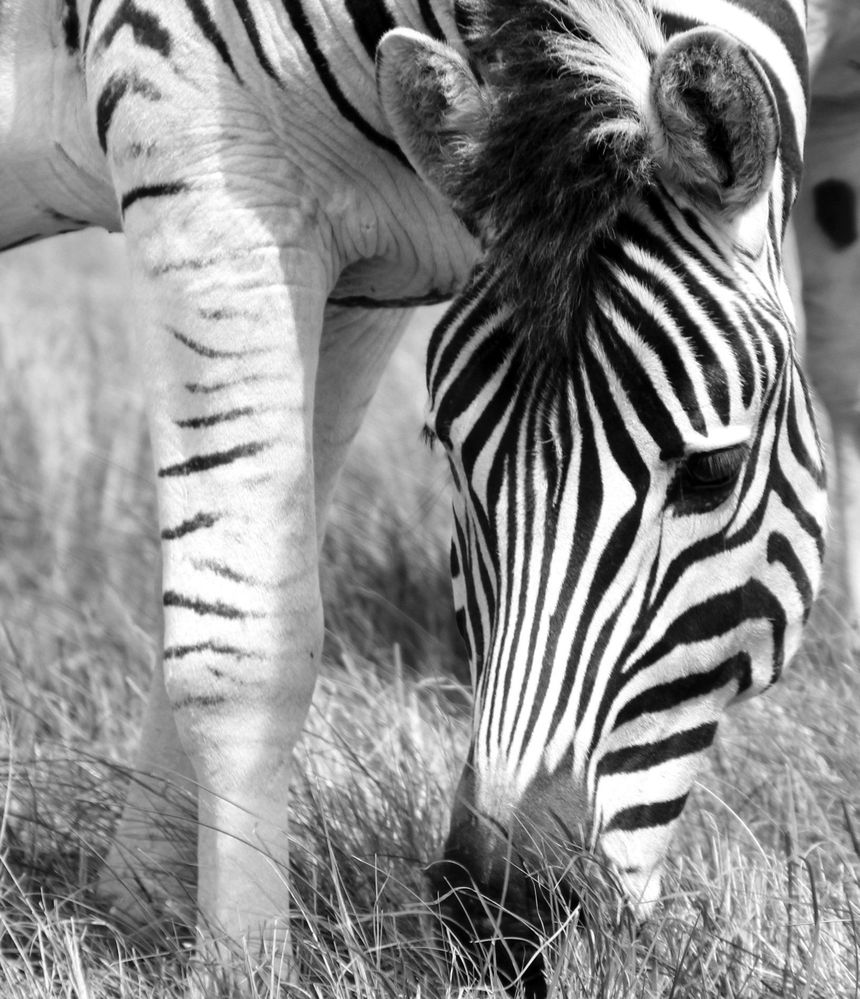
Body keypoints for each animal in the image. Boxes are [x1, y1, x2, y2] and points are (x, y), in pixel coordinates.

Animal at [0, 0, 853, 980]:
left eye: (714, 472)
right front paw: (238, 964)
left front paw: (139, 904)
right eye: (448, 452)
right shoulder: (202, 155)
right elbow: (246, 640)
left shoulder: (353, 265)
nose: (502, 912)